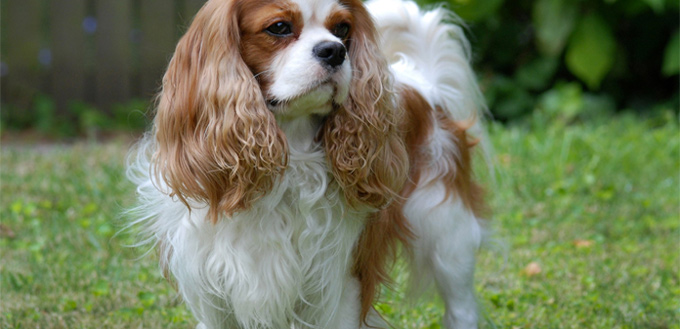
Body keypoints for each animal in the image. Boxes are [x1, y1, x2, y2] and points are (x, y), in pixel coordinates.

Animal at [126, 0, 488, 326]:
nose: (334, 50)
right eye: (279, 27)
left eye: (342, 29)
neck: (291, 152)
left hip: (447, 235)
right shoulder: (216, 291)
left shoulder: (338, 284)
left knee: (461, 307)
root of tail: (425, 86)